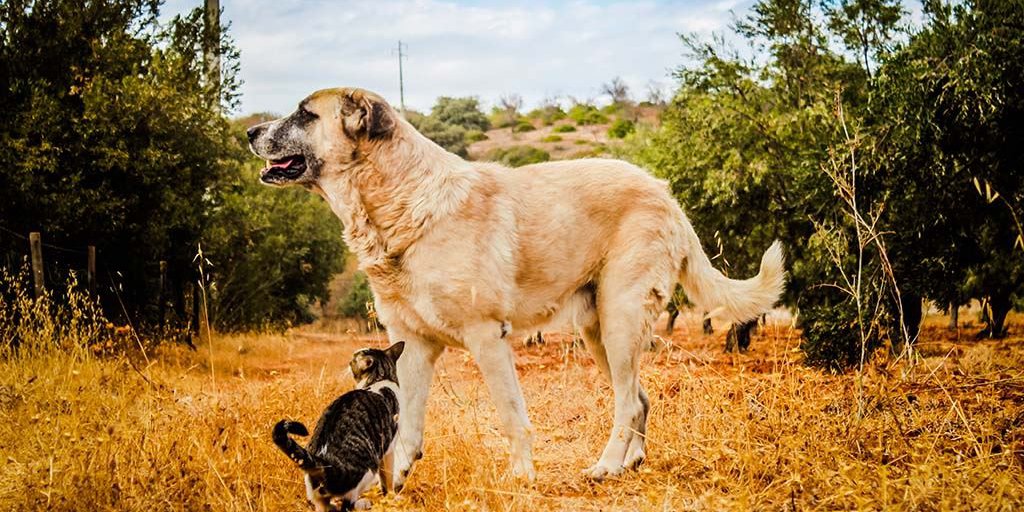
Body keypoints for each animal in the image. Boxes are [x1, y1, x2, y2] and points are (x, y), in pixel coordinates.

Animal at [247, 87, 782, 487]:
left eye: (305, 113)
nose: (250, 131)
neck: (401, 201)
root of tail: (663, 191)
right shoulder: (413, 345)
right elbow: (407, 423)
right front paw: (396, 482)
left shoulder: (487, 337)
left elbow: (509, 415)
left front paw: (522, 476)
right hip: (599, 332)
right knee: (639, 398)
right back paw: (630, 463)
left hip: (621, 319)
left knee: (629, 401)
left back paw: (606, 466)